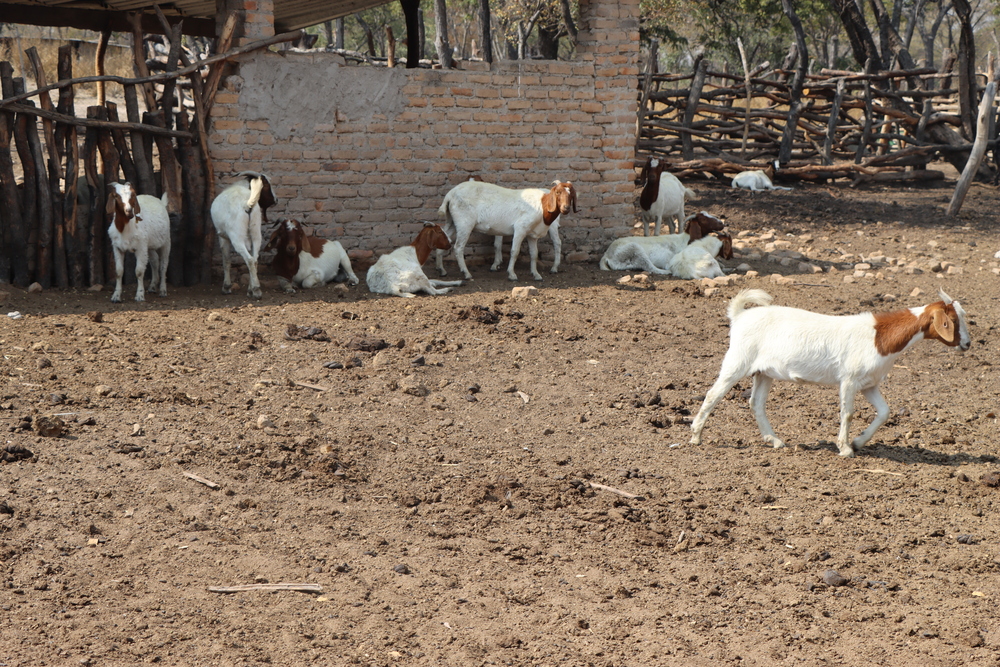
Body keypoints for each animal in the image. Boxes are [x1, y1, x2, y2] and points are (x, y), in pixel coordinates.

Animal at [209, 172, 276, 300]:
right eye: (267, 185)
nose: (276, 200)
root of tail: (247, 204)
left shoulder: (223, 237)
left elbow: (226, 261)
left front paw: (226, 287)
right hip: (256, 233)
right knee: (254, 260)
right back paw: (252, 289)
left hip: (237, 237)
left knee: (249, 260)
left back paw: (256, 290)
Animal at [434, 179, 576, 280]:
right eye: (558, 192)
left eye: (572, 194)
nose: (566, 208)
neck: (542, 204)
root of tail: (450, 195)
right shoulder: (520, 228)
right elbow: (514, 251)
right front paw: (512, 274)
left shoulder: (531, 234)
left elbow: (534, 254)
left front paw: (536, 274)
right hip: (464, 223)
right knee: (458, 247)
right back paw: (466, 274)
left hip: (452, 222)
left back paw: (442, 270)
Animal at [596, 211, 724, 274]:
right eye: (703, 219)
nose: (721, 224)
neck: (686, 239)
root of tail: (606, 255)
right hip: (634, 250)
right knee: (650, 268)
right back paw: (666, 271)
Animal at [688, 290, 968, 456]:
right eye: (953, 321)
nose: (967, 344)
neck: (879, 337)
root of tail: (739, 316)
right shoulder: (849, 380)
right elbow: (848, 413)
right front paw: (845, 448)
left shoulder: (869, 383)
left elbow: (885, 412)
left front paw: (858, 442)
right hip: (738, 361)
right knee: (713, 394)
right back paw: (695, 436)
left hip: (763, 371)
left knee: (756, 403)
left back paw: (774, 440)